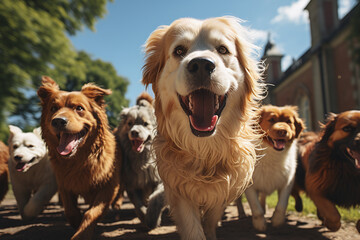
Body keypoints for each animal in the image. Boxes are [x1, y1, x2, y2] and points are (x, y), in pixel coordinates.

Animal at [37, 77, 119, 240]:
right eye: (53, 109)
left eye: (79, 108)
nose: (58, 121)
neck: (79, 160)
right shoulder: (65, 184)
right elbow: (70, 210)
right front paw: (76, 223)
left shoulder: (108, 188)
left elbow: (91, 214)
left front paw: (81, 233)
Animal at [114, 92, 165, 229]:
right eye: (130, 123)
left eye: (145, 124)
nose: (134, 132)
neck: (143, 161)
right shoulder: (132, 185)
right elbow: (139, 205)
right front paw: (144, 218)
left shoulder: (159, 181)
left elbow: (155, 200)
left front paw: (152, 220)